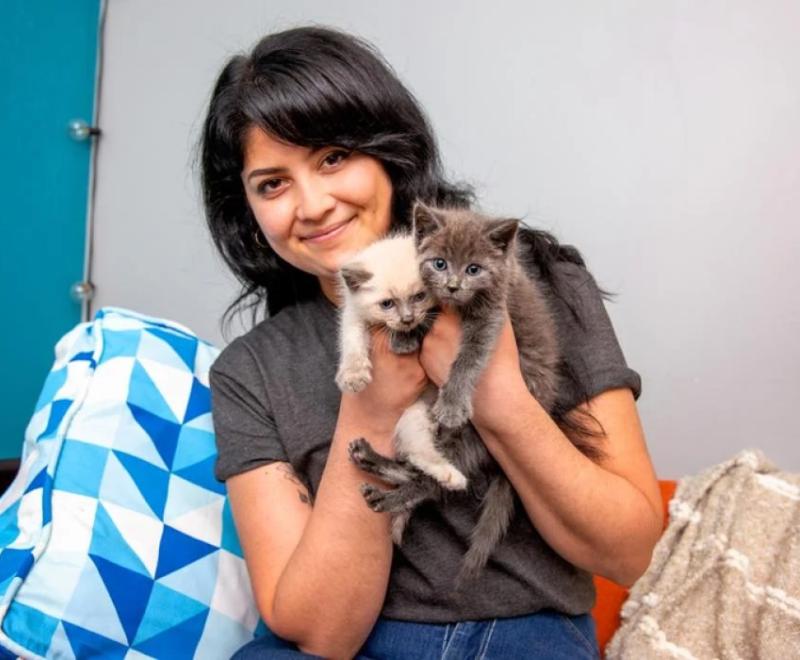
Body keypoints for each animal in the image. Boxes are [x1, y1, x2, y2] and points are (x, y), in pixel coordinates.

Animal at [348, 202, 568, 588]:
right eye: (439, 263)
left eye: (474, 269)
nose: (452, 286)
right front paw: (403, 337)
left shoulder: (492, 314)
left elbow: (468, 357)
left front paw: (450, 402)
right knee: (418, 465)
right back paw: (373, 464)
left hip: (473, 436)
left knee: (435, 482)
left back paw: (391, 497)